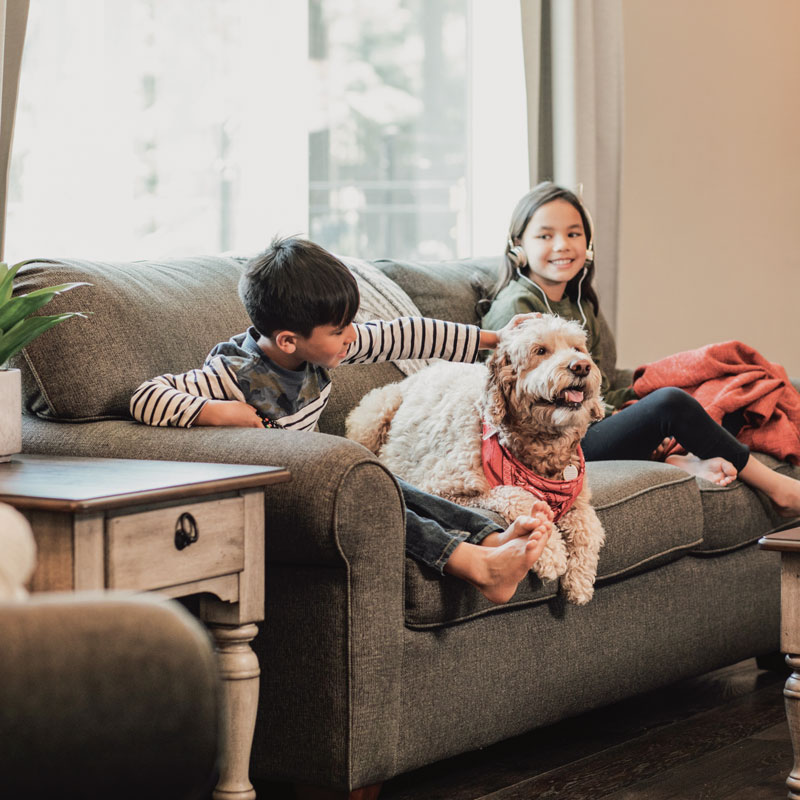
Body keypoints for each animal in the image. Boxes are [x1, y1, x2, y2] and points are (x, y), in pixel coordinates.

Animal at [346, 316, 608, 604]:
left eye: (577, 348)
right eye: (540, 351)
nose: (581, 366)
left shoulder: (578, 500)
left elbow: (590, 528)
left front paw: (580, 581)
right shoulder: (445, 487)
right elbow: (518, 495)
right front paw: (550, 552)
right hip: (376, 413)